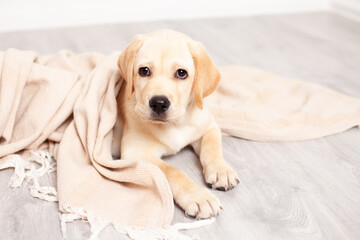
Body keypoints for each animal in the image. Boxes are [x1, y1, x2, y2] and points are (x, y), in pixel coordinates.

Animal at [115, 29, 239, 218]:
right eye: (144, 71)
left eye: (181, 73)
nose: (159, 103)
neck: (176, 124)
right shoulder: (135, 153)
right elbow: (172, 171)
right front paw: (199, 196)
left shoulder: (209, 126)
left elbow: (212, 147)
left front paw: (221, 170)